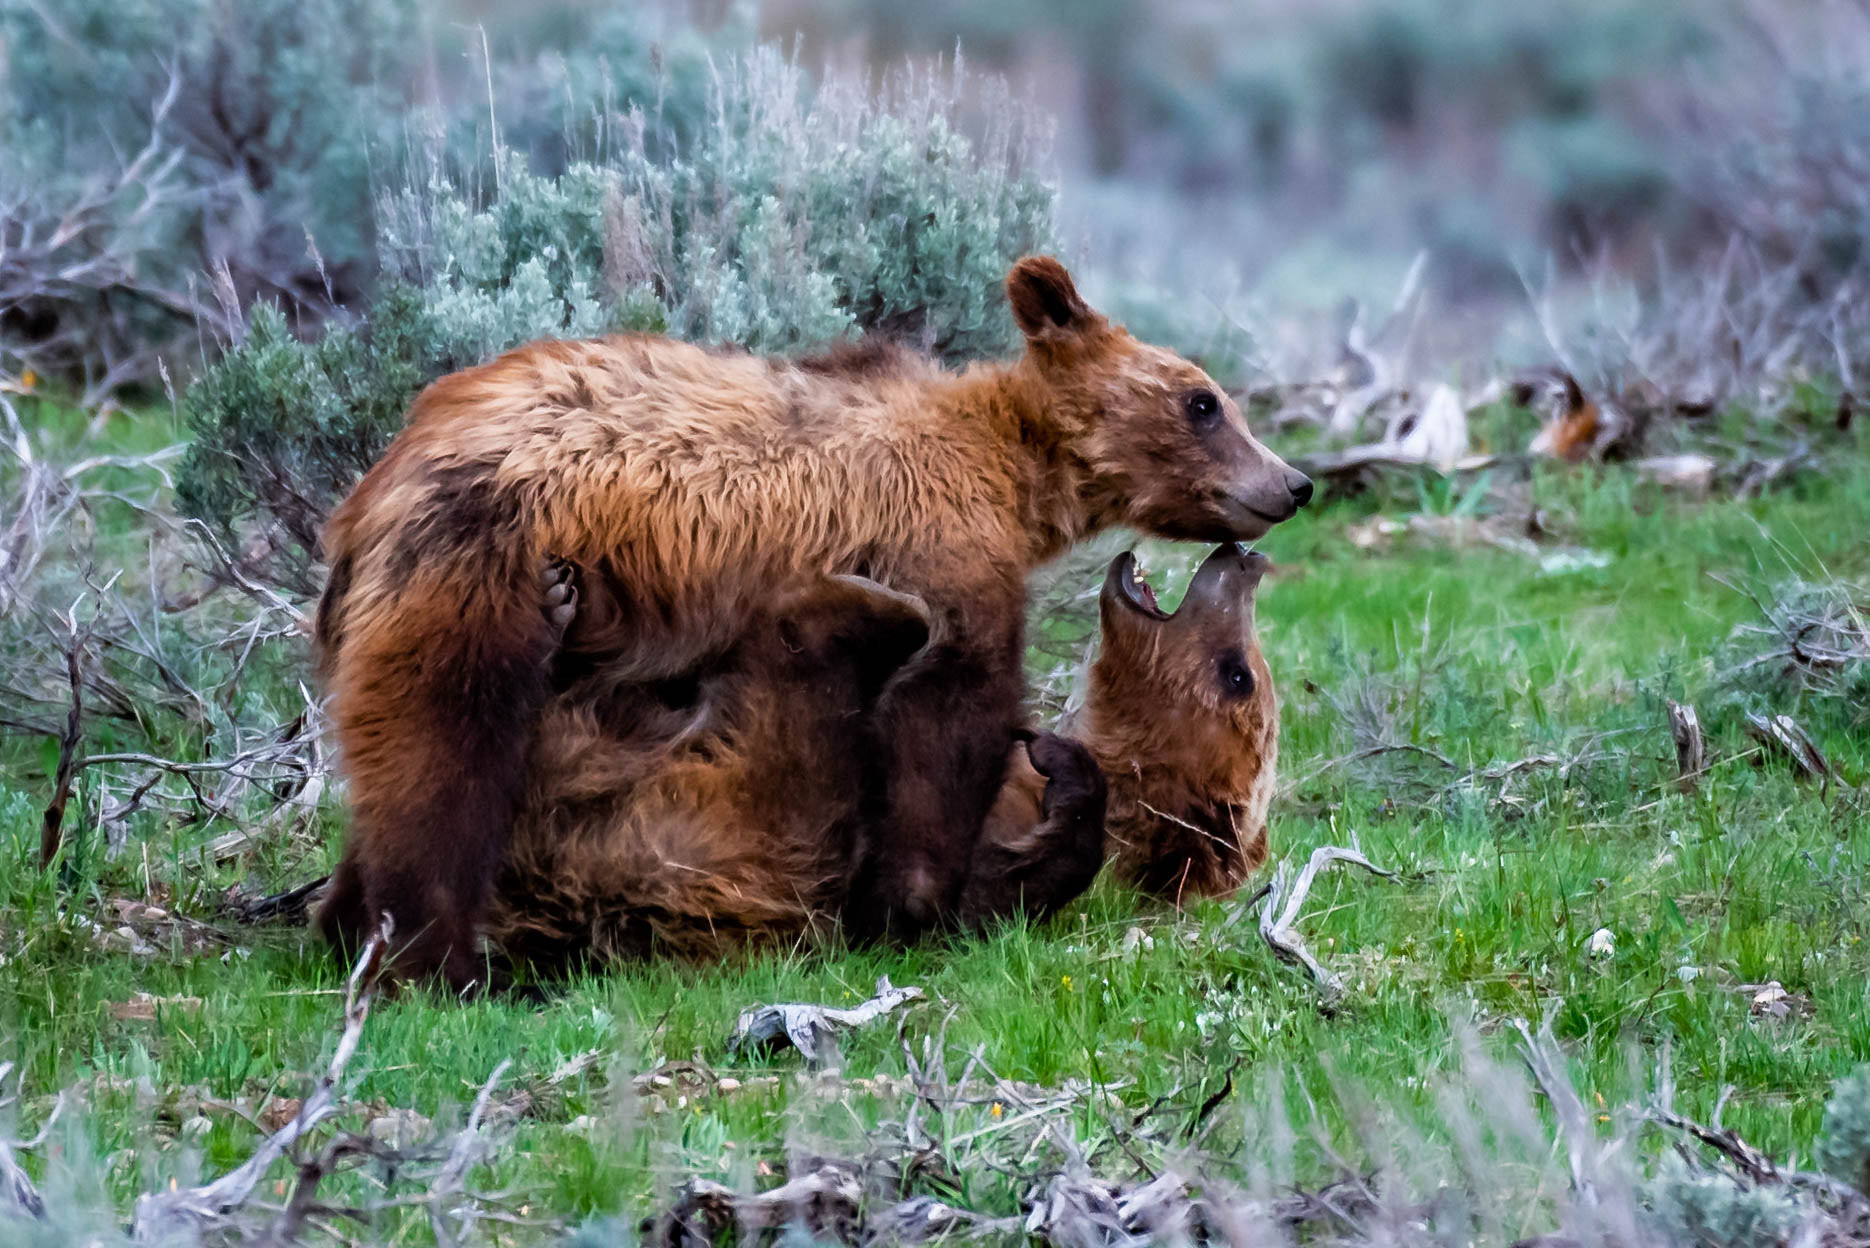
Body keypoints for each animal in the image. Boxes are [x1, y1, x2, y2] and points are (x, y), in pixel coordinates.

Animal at [313, 255, 1311, 989]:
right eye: (1203, 401)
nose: (1292, 483)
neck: (1016, 477)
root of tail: (370, 490)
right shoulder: (943, 542)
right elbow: (950, 707)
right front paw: (918, 898)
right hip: (473, 563)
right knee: (442, 747)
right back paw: (431, 956)